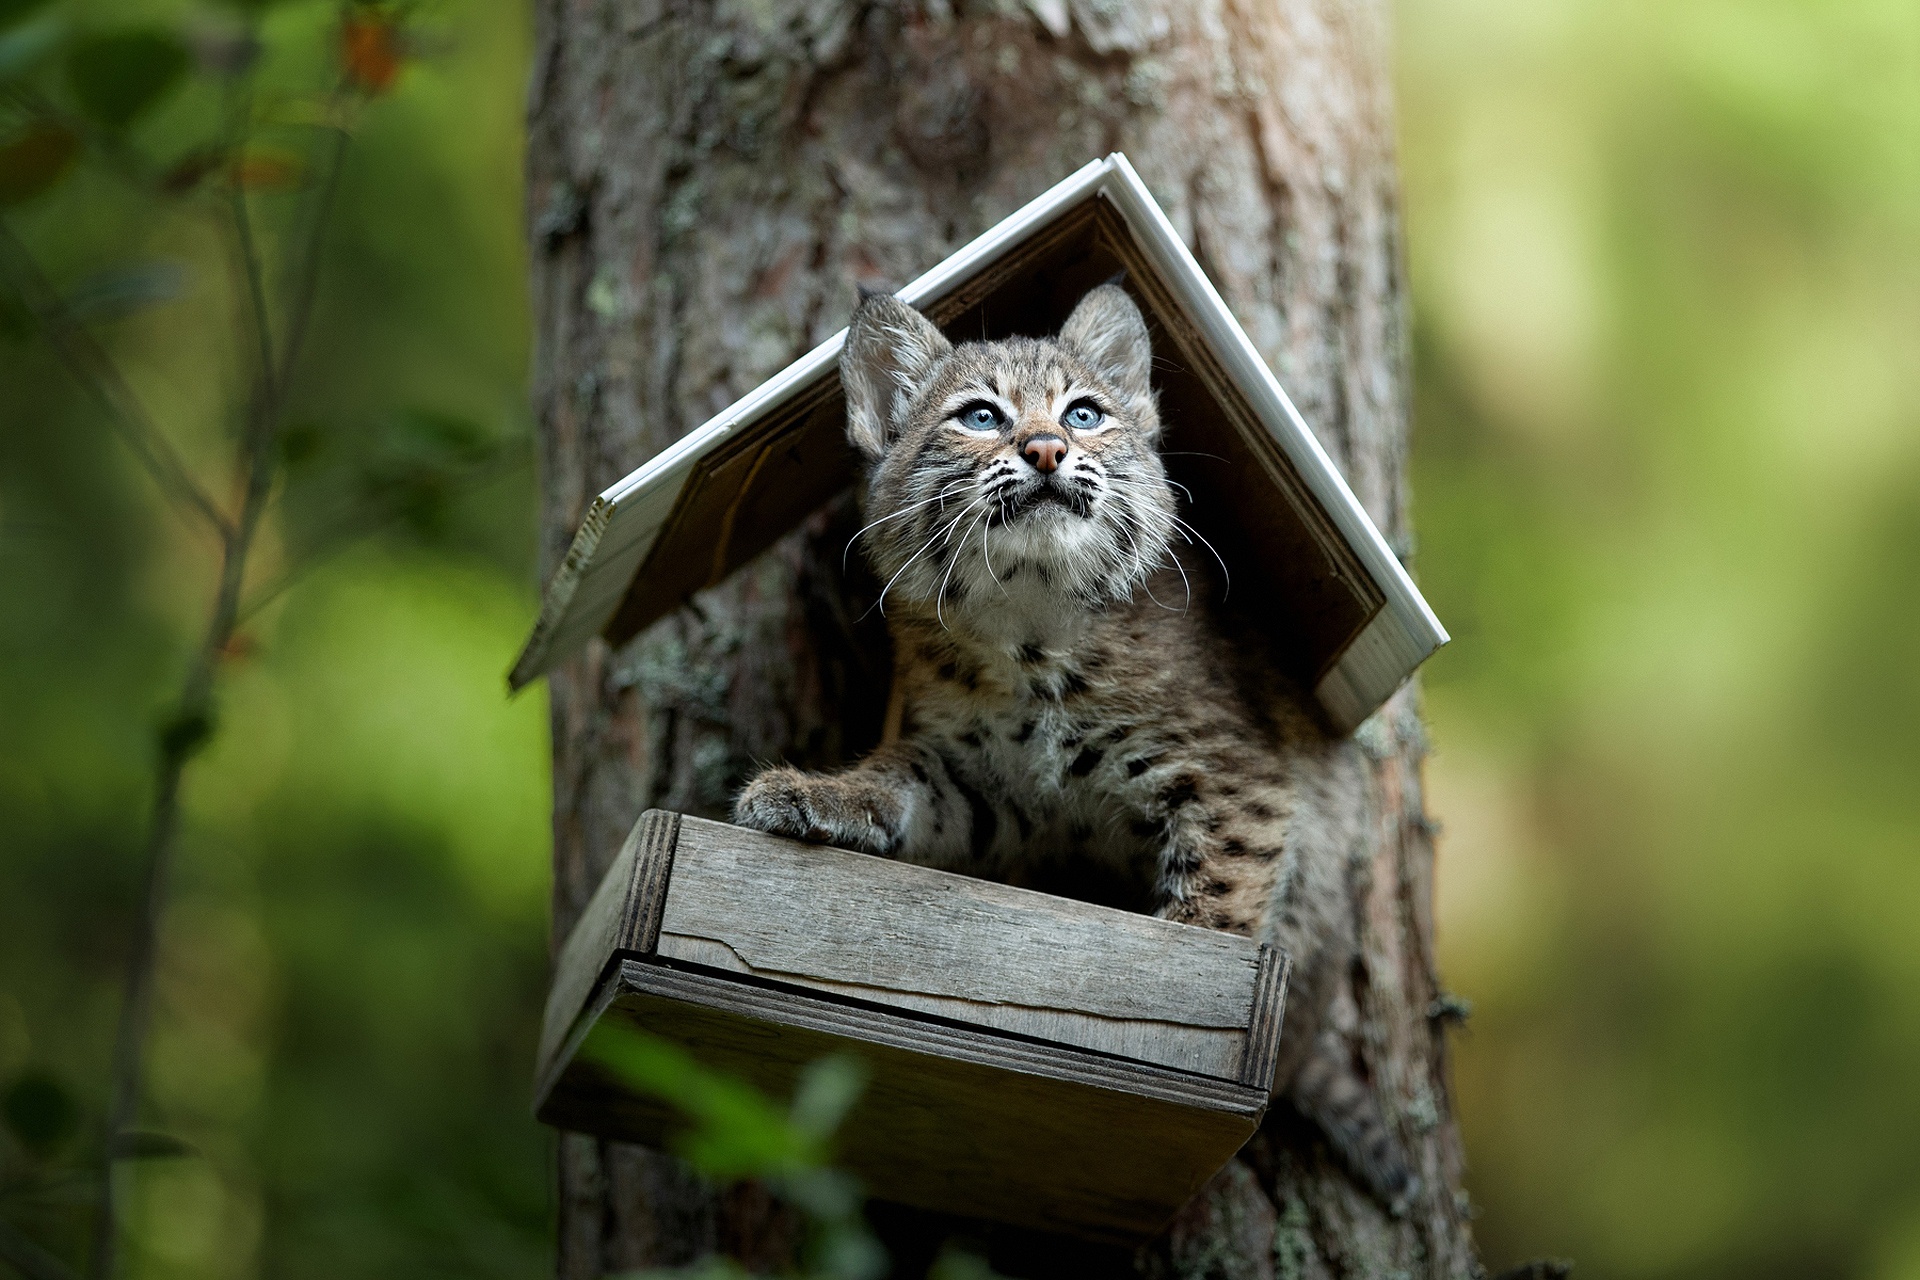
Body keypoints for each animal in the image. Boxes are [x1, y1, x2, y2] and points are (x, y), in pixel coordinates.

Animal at [733, 282, 1413, 1205]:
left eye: (1084, 413)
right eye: (980, 416)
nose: (1049, 449)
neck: (1029, 621)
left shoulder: (1241, 774)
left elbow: (1215, 915)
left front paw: (1185, 1003)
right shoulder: (986, 788)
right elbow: (899, 787)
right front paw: (816, 794)